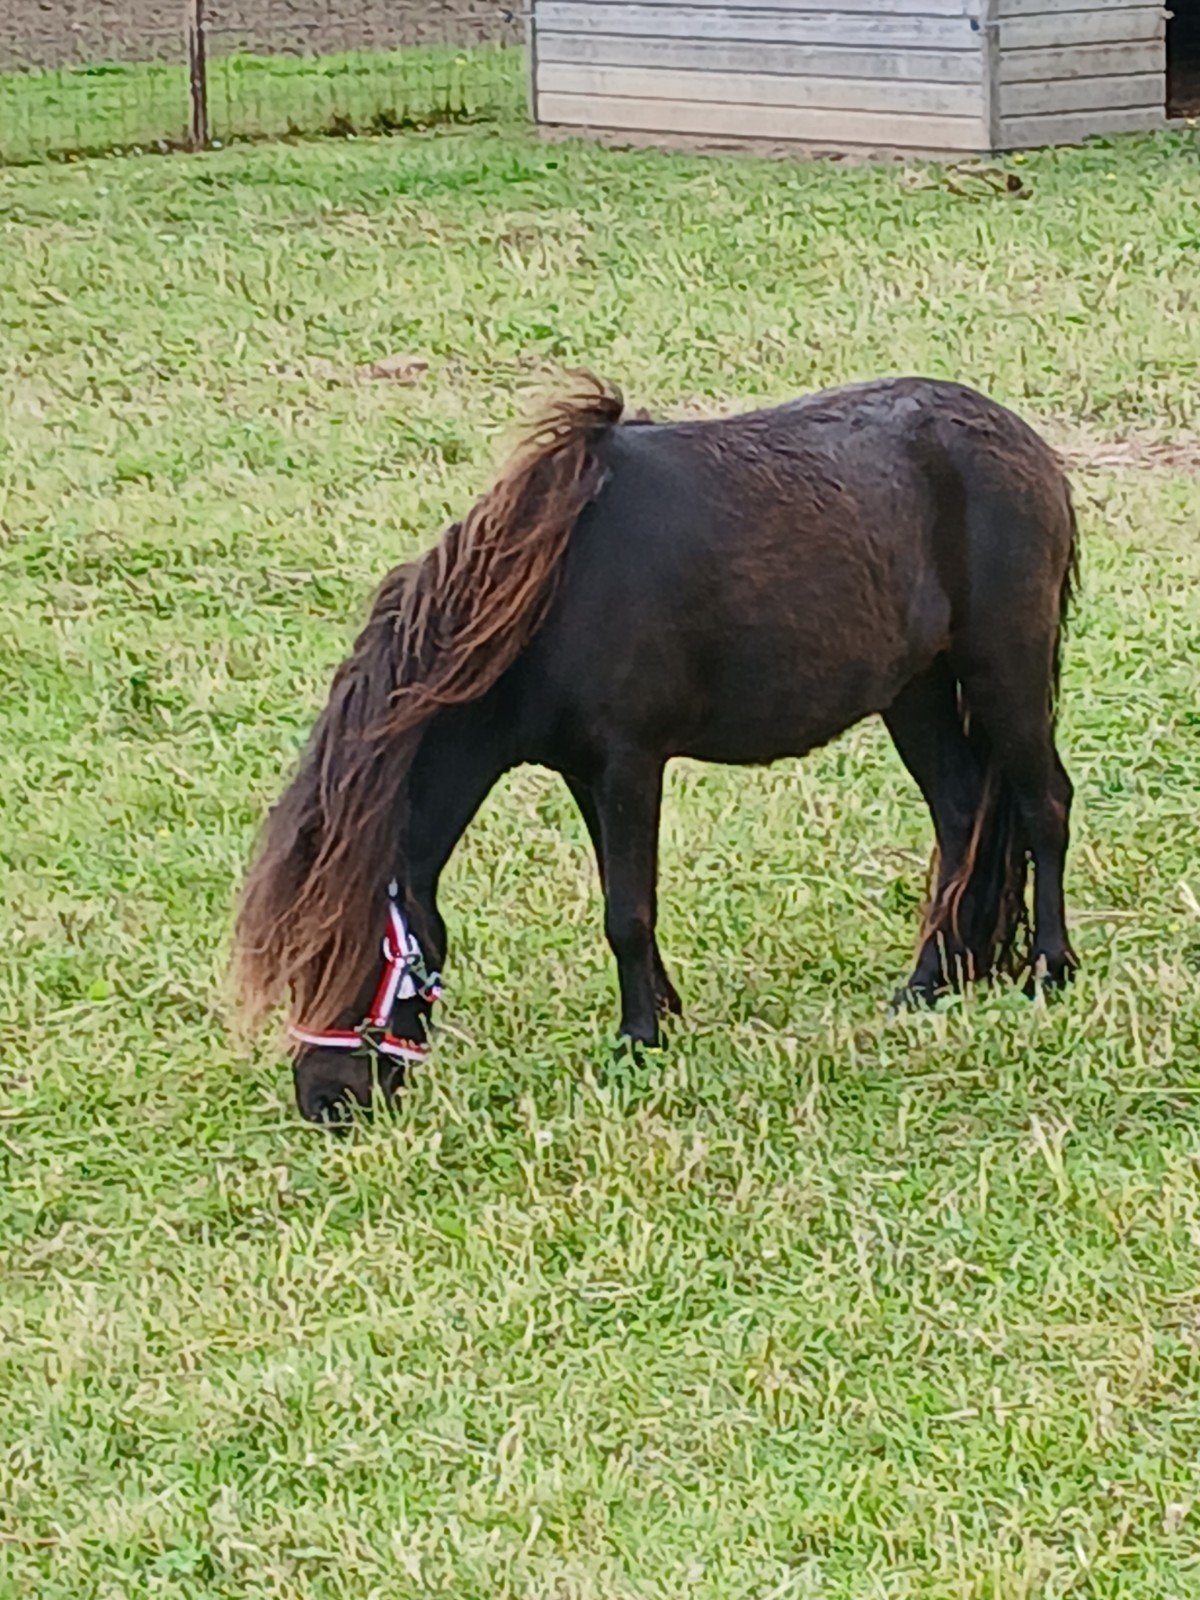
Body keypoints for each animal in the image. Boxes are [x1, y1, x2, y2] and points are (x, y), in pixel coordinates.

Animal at [235, 375, 1079, 1125]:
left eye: (342, 956)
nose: (324, 1102)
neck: (551, 590)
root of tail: (1030, 448)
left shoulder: (630, 763)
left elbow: (627, 911)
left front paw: (638, 1038)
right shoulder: (584, 772)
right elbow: (626, 898)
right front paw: (664, 1013)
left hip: (1005, 670)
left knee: (1044, 806)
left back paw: (1049, 968)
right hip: (917, 691)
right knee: (961, 815)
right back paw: (933, 979)